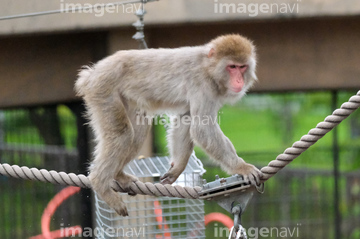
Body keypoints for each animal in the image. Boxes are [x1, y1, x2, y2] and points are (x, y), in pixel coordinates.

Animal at [75, 34, 262, 217]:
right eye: (232, 67)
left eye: (242, 67)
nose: (239, 80)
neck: (208, 68)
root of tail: (92, 74)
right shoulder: (203, 86)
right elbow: (202, 129)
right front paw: (242, 167)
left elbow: (186, 120)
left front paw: (177, 168)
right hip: (103, 90)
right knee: (123, 134)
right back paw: (100, 183)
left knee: (137, 134)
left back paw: (119, 175)